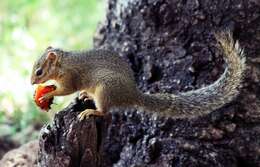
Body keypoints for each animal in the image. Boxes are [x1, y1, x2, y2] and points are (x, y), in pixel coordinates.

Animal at [31, 31, 246, 120]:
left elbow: (66, 90)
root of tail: (132, 94)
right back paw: (85, 96)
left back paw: (92, 111)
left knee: (105, 112)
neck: (63, 63)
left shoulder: (70, 77)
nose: (32, 82)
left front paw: (47, 93)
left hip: (105, 90)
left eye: (39, 71)